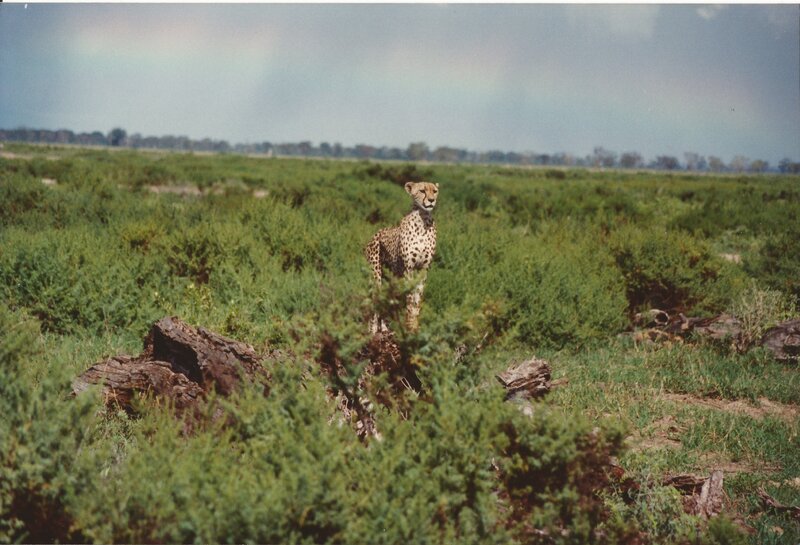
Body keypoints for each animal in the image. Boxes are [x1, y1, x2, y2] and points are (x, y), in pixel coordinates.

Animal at [365, 181, 439, 333]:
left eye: (434, 191)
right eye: (422, 191)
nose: (431, 200)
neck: (423, 220)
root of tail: (375, 233)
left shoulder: (423, 269)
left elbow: (418, 298)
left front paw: (415, 326)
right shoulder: (409, 268)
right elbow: (410, 298)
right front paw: (409, 325)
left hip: (391, 278)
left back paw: (384, 328)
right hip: (377, 276)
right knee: (375, 299)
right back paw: (373, 329)